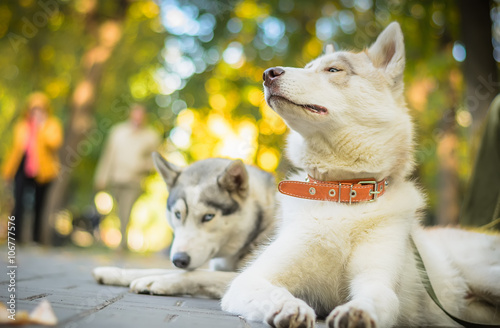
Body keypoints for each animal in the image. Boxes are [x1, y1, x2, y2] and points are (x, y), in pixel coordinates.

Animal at [223, 21, 500, 326]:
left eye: (333, 70)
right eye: (308, 67)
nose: (268, 74)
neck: (344, 191)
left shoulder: (378, 279)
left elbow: (376, 297)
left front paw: (358, 312)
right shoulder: (251, 278)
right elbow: (273, 292)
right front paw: (288, 307)